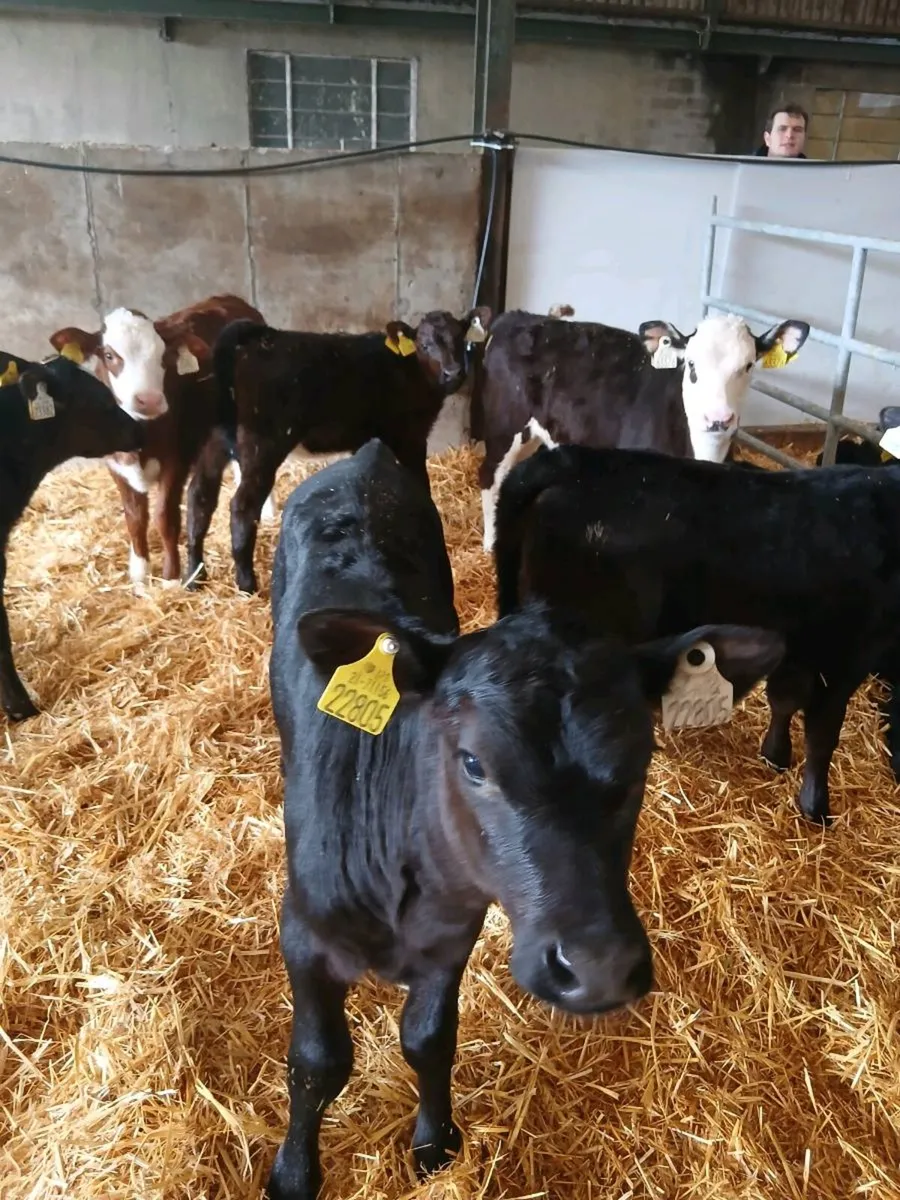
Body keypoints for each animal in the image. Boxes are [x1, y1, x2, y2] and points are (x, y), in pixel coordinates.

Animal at [48, 293, 265, 585]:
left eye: (163, 356)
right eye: (109, 355)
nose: (149, 400)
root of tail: (230, 299)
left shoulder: (176, 460)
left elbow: (165, 515)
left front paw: (171, 577)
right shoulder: (115, 464)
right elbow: (135, 517)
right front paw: (140, 575)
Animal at [210, 306, 491, 595]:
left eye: (460, 338)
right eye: (424, 345)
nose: (453, 372)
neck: (410, 371)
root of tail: (263, 338)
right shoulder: (411, 437)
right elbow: (421, 483)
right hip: (263, 444)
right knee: (242, 506)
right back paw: (246, 583)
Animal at [264, 436, 784, 1199]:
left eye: (642, 755)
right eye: (472, 762)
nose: (598, 967)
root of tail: (362, 457)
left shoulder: (453, 935)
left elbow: (429, 1038)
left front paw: (434, 1141)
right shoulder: (302, 934)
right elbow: (317, 1061)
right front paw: (295, 1174)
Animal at [476, 309, 810, 551]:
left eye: (748, 365)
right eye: (691, 365)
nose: (718, 419)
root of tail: (518, 316)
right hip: (505, 422)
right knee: (491, 476)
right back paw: (492, 543)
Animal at [492, 440, 900, 826]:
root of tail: (574, 459)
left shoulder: (799, 646)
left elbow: (783, 700)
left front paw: (775, 755)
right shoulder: (846, 657)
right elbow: (822, 735)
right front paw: (816, 808)